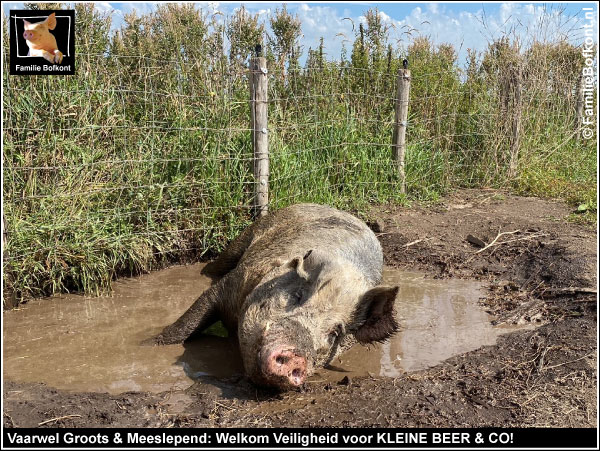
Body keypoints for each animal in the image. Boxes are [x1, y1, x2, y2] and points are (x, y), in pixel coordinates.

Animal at [155, 203, 398, 390]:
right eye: (298, 295)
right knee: (214, 266)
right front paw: (153, 343)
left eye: (335, 332)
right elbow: (191, 319)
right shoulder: (230, 285)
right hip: (245, 237)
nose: (296, 355)